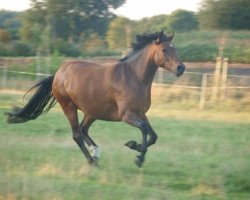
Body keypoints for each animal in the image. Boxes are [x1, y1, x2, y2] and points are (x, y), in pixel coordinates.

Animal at [5, 31, 186, 168]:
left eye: (175, 49)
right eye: (164, 50)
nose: (181, 68)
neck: (135, 78)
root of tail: (58, 73)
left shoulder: (141, 114)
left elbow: (153, 135)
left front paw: (134, 146)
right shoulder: (127, 116)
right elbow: (144, 129)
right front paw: (138, 156)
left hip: (92, 112)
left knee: (83, 130)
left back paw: (96, 153)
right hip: (69, 107)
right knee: (77, 134)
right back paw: (92, 161)